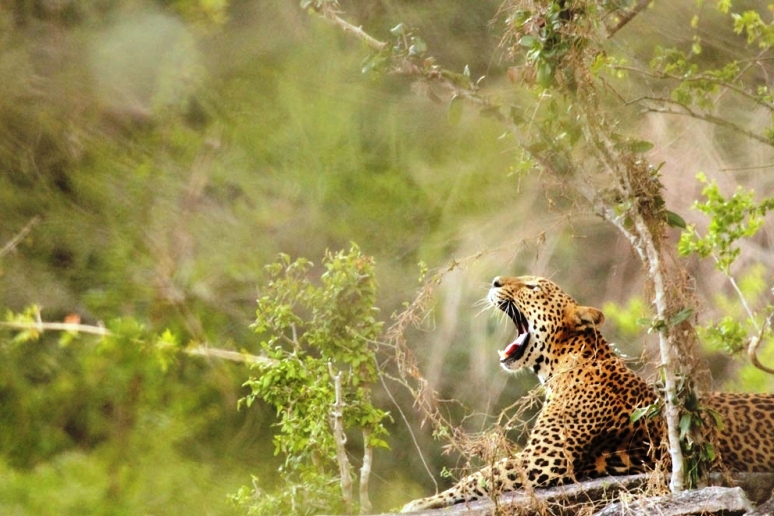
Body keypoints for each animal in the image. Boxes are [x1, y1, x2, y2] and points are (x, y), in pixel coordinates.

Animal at [401, 275, 774, 512]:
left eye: (532, 286)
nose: (494, 281)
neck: (561, 365)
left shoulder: (544, 460)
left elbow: (481, 476)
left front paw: (421, 502)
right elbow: (483, 474)